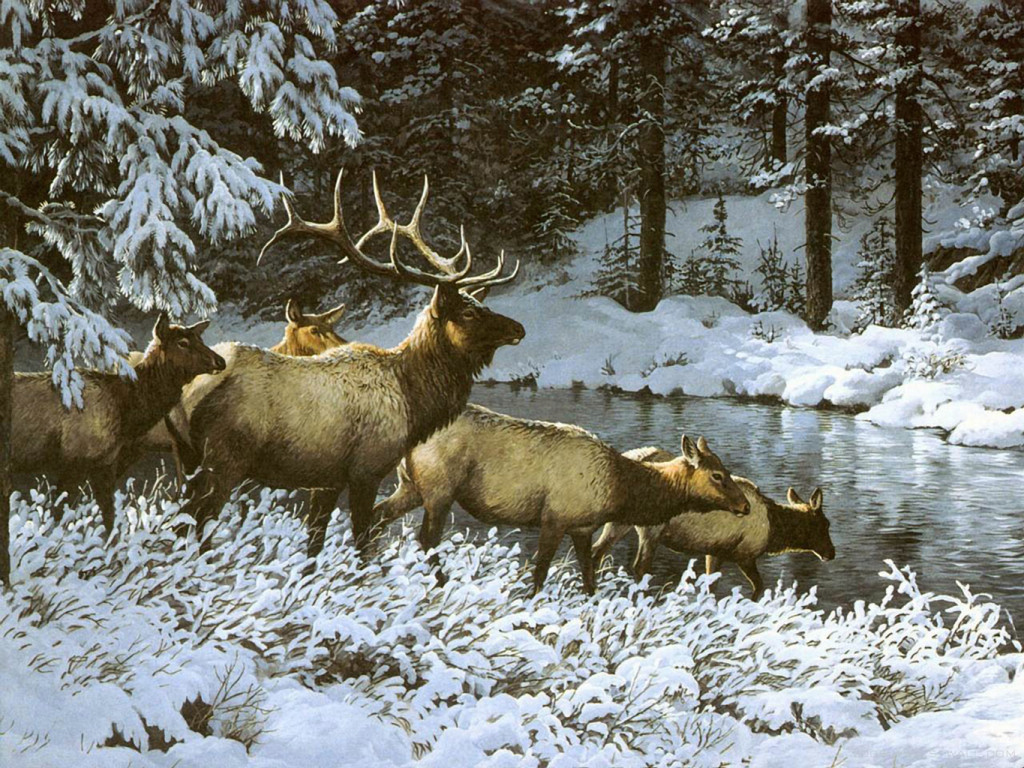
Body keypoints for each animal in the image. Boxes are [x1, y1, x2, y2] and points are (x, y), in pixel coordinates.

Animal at [13, 314, 225, 534]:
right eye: (182, 343)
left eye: (200, 339)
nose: (220, 361)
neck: (124, 413)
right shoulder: (74, 460)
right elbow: (60, 514)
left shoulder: (105, 462)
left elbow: (108, 517)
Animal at [177, 170, 524, 557]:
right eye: (467, 313)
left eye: (481, 305)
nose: (519, 328)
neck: (412, 401)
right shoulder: (365, 470)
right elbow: (362, 542)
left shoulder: (327, 480)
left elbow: (314, 545)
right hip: (225, 459)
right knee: (198, 521)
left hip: (191, 462)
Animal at [373, 404, 750, 595]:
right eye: (717, 475)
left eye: (726, 470)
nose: (745, 506)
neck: (618, 489)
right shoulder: (554, 517)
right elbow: (540, 570)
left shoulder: (582, 526)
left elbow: (588, 574)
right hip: (439, 490)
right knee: (426, 539)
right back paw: (442, 583)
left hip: (411, 486)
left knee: (377, 515)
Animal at [592, 447, 836, 598]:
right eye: (825, 524)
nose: (831, 553)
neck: (774, 530)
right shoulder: (745, 555)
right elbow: (758, 587)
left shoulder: (715, 552)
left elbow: (711, 585)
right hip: (651, 529)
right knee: (639, 566)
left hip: (619, 523)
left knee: (596, 551)